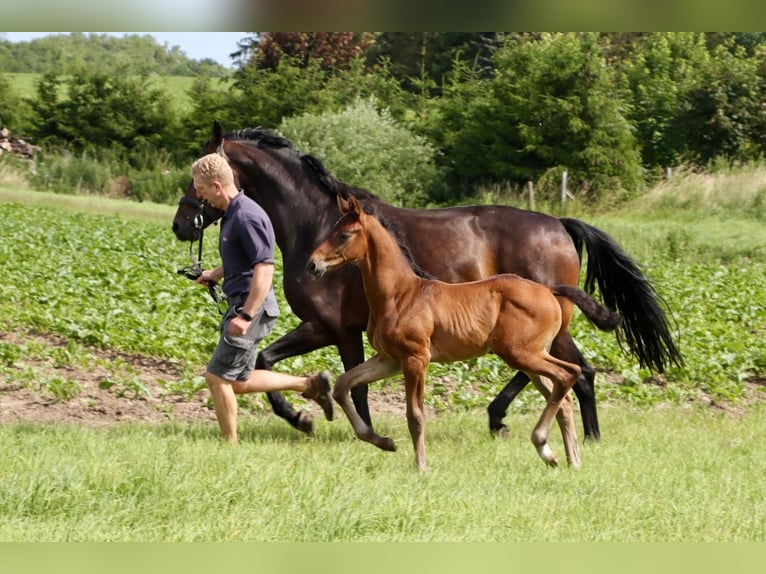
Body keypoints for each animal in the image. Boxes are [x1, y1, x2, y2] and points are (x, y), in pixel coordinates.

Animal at [172, 122, 684, 440]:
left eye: (197, 174)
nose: (181, 224)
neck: (314, 224)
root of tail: (558, 224)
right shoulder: (351, 333)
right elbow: (351, 381)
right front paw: (353, 426)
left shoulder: (327, 327)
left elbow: (274, 362)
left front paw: (303, 418)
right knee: (562, 370)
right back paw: (521, 423)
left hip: (544, 325)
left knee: (575, 371)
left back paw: (561, 432)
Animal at [306, 196, 624, 470]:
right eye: (332, 228)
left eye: (344, 234)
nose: (312, 264)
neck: (401, 293)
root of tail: (550, 290)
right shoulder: (388, 360)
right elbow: (343, 385)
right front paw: (383, 442)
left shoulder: (415, 358)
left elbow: (415, 414)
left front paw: (420, 466)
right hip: (530, 358)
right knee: (562, 396)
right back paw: (565, 458)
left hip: (522, 354)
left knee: (569, 374)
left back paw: (543, 442)